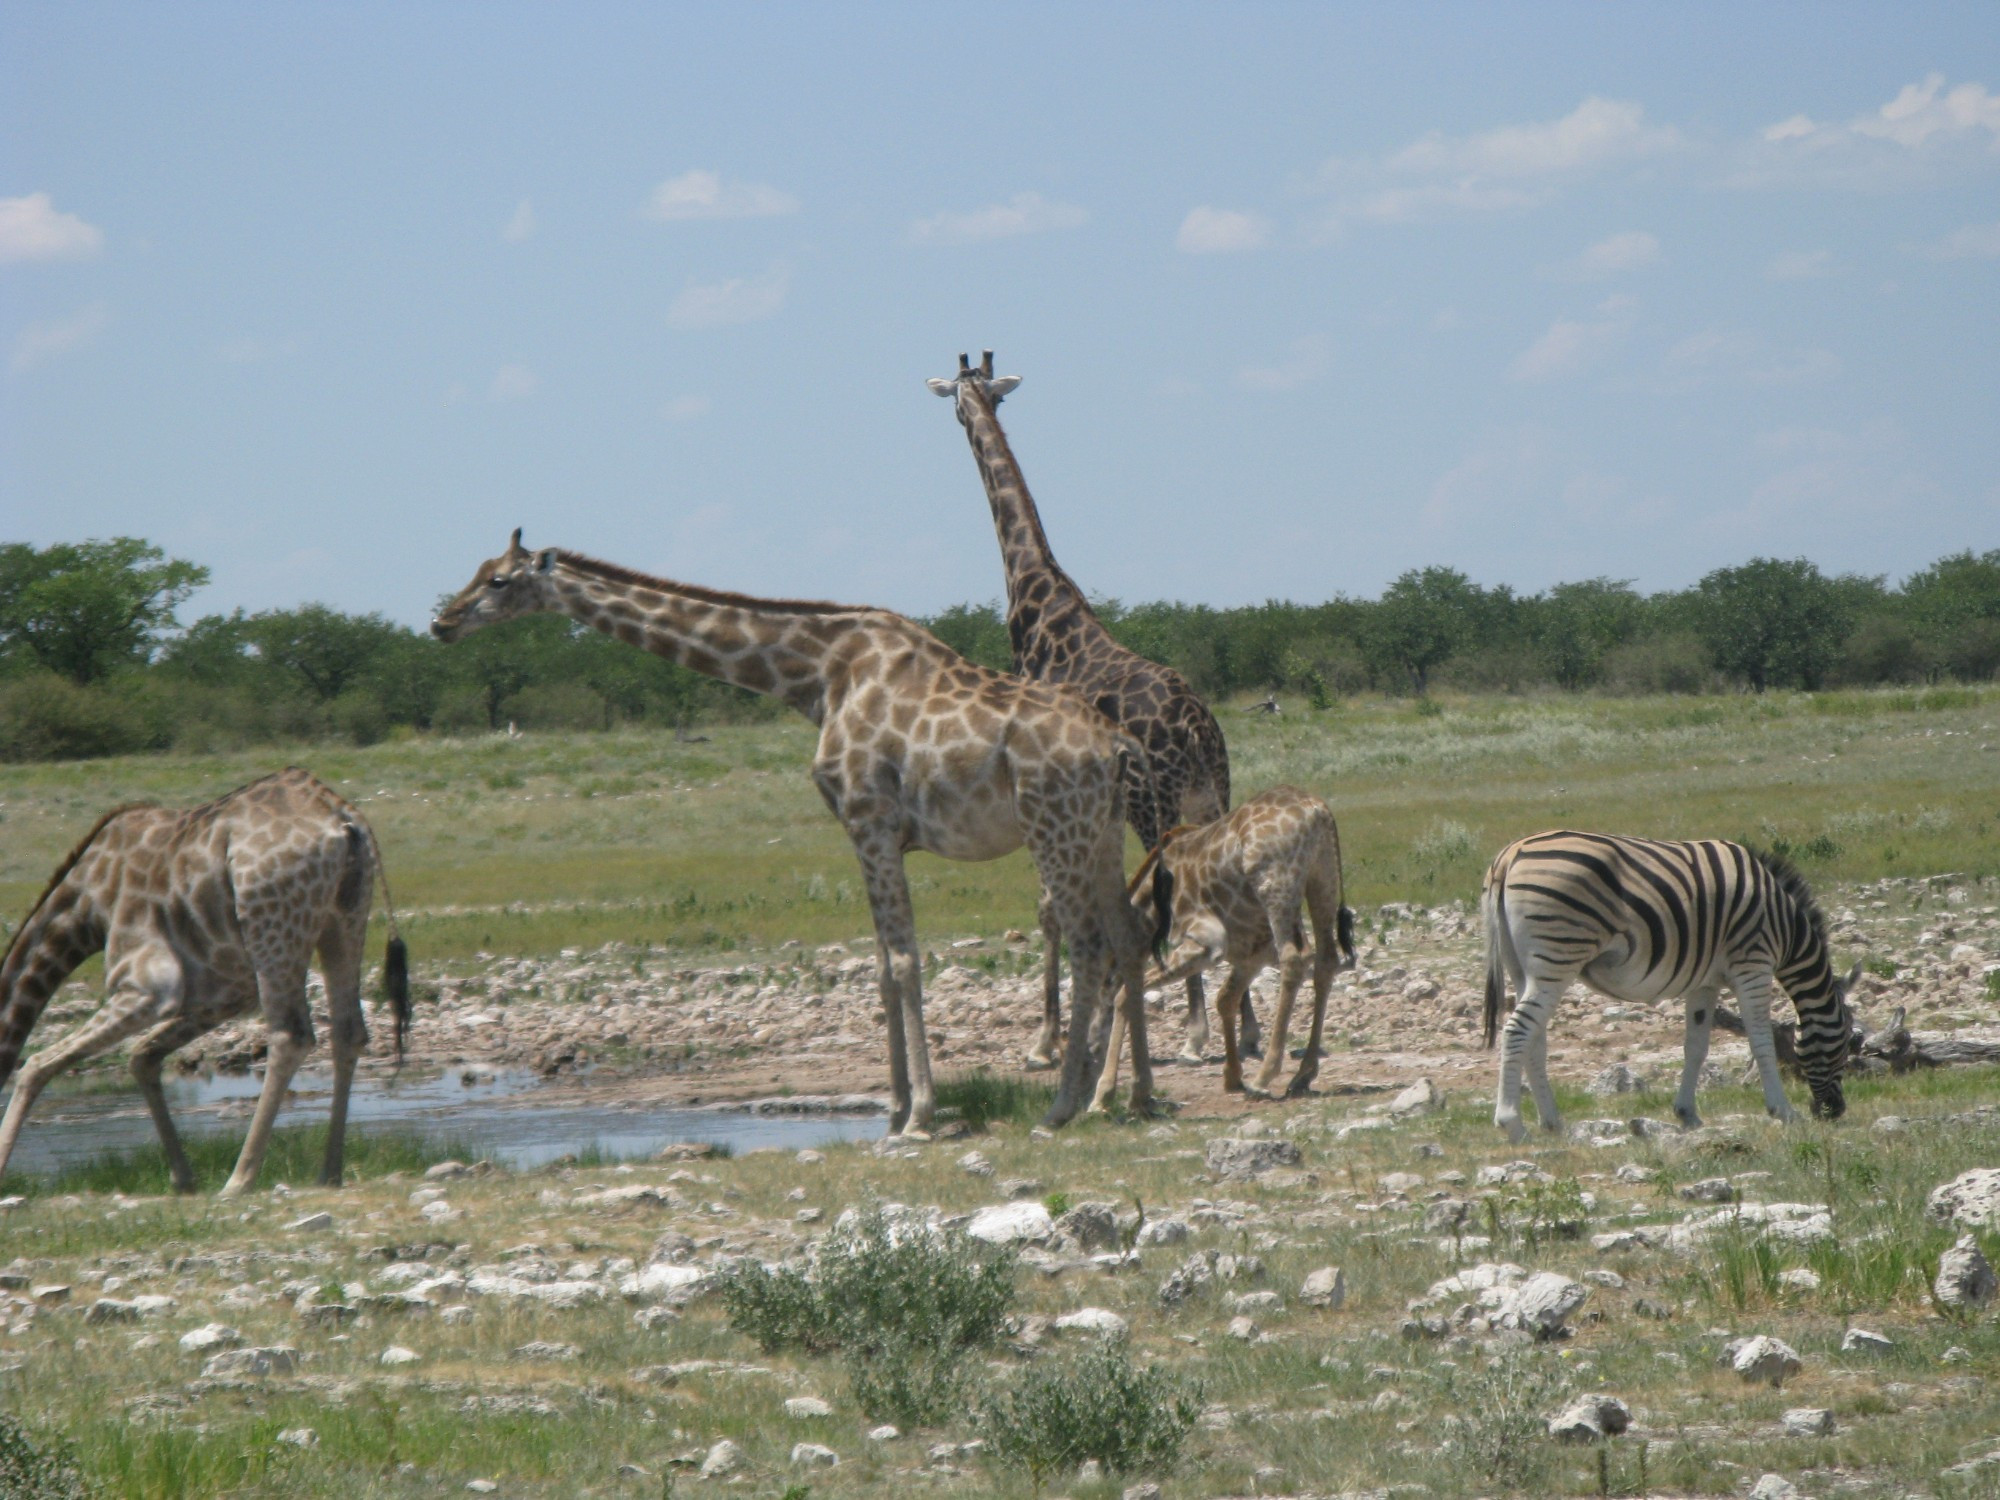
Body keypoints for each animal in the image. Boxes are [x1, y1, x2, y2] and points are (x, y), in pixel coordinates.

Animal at [0, 776, 410, 1200]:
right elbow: (142, 1057)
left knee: (291, 1036)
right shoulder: (224, 994)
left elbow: (36, 1065)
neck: (85, 907)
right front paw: (183, 1178)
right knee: (349, 1033)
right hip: (343, 919)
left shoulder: (149, 986)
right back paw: (329, 1172)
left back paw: (239, 1180)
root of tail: (345, 818)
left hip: (274, 934)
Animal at [434, 536, 1160, 1136]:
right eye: (478, 568)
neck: (817, 676)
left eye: (499, 579)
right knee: (1128, 935)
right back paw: (1133, 1097)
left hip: (1053, 830)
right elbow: (881, 968)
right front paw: (892, 1110)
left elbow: (904, 961)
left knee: (1089, 944)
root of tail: (1117, 744)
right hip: (1098, 832)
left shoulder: (870, 821)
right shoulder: (866, 834)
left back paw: (1062, 1106)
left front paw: (920, 1114)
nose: (442, 621)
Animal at [928, 352, 1256, 1064]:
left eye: (961, 400)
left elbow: (1050, 908)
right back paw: (1240, 1027)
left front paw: (1046, 1040)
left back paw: (1197, 1033)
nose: (967, 412)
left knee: (1173, 883)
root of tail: (1195, 726)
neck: (1035, 603)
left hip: (1151, 801)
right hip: (1208, 791)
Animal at [1480, 836, 1864, 1136]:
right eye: (1846, 1040)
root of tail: (1510, 854)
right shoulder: (1753, 964)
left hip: (1524, 967)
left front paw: (1687, 1114)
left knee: (1534, 1038)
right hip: (1558, 956)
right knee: (1517, 1030)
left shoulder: (1705, 983)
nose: (1835, 1111)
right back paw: (1512, 1123)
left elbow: (1696, 1047)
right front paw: (1783, 1111)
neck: (1787, 928)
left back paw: (1552, 1122)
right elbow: (1761, 1041)